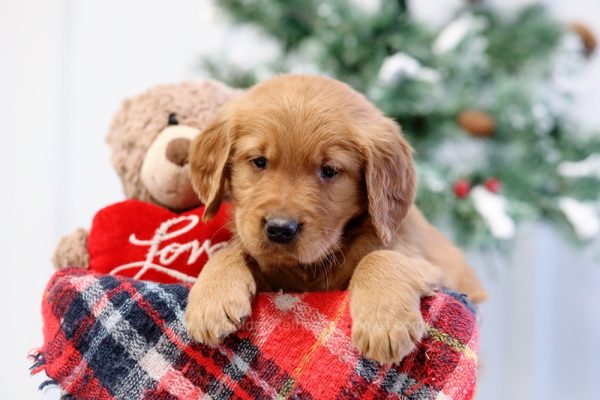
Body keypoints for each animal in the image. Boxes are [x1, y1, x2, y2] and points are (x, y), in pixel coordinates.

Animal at [185, 73, 486, 364]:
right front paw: (211, 299)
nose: (280, 229)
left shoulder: (430, 265)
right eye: (259, 161)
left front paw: (384, 322)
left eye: (329, 170)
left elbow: (379, 257)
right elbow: (232, 250)